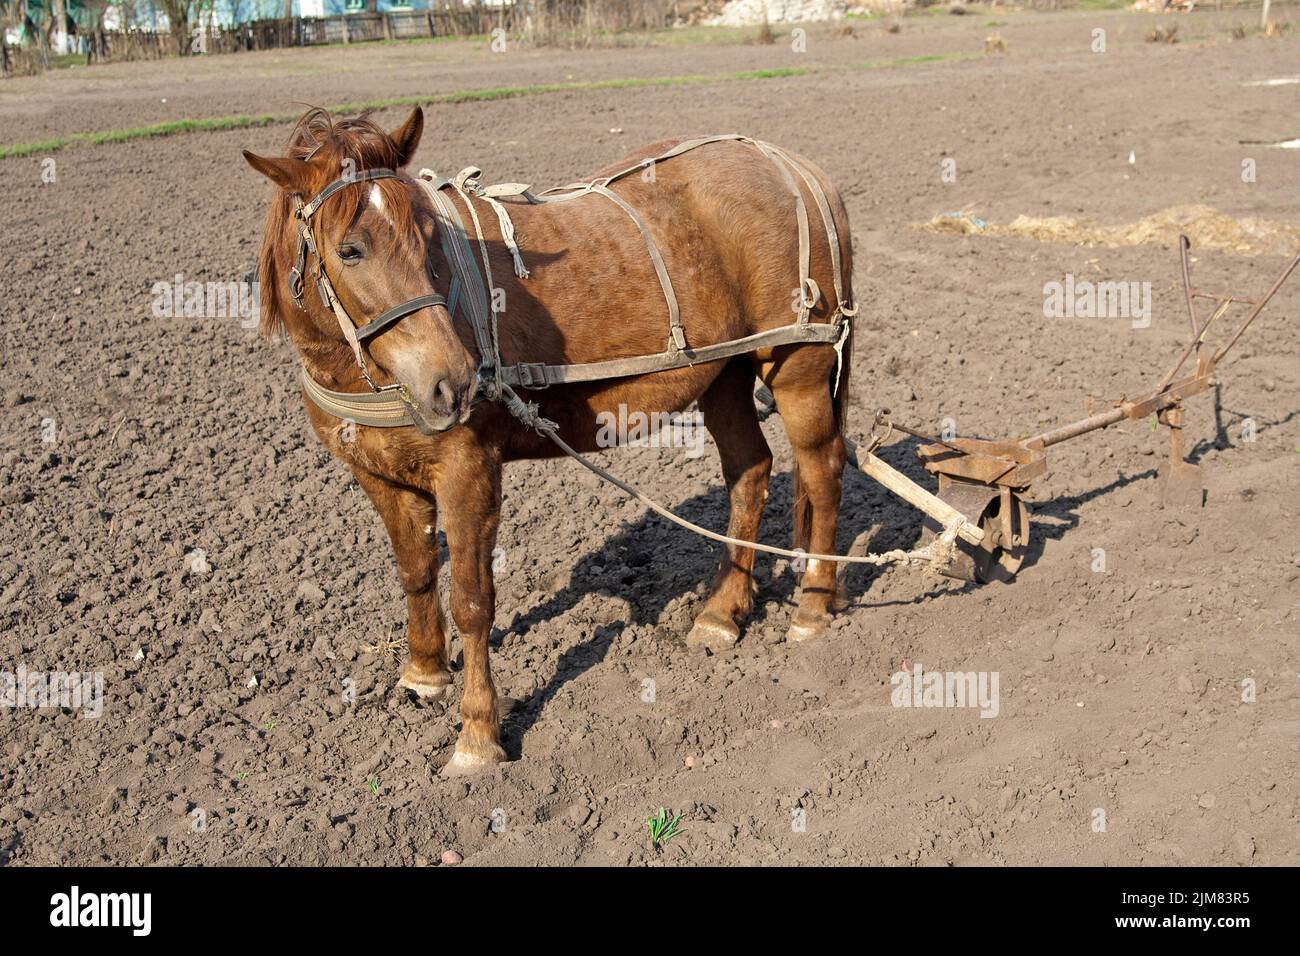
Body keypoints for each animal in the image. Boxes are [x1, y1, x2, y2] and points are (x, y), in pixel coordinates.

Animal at [243, 106, 856, 776]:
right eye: (349, 250)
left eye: (429, 240)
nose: (452, 383)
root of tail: (797, 166)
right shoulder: (378, 476)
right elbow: (415, 574)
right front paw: (423, 674)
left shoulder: (468, 471)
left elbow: (472, 600)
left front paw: (478, 733)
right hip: (723, 374)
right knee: (750, 469)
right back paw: (722, 613)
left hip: (798, 367)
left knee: (822, 471)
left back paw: (813, 606)